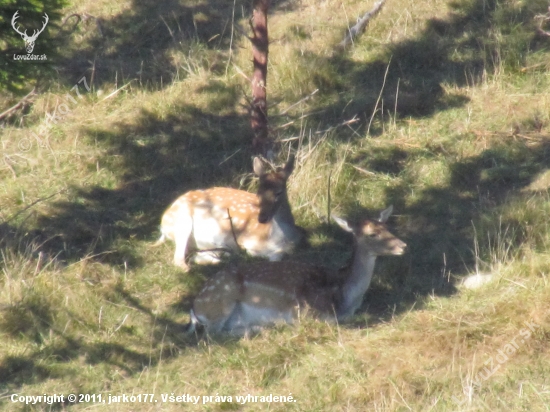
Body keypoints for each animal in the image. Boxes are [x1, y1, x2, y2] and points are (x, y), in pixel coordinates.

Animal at [154, 156, 306, 268]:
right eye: (258, 193)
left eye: (278, 192)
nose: (262, 218)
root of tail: (163, 222)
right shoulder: (243, 241)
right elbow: (253, 253)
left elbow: (276, 257)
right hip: (182, 221)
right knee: (179, 260)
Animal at [190, 205, 410, 334]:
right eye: (372, 234)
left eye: (387, 227)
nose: (403, 245)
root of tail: (194, 308)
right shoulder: (308, 311)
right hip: (221, 303)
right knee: (213, 336)